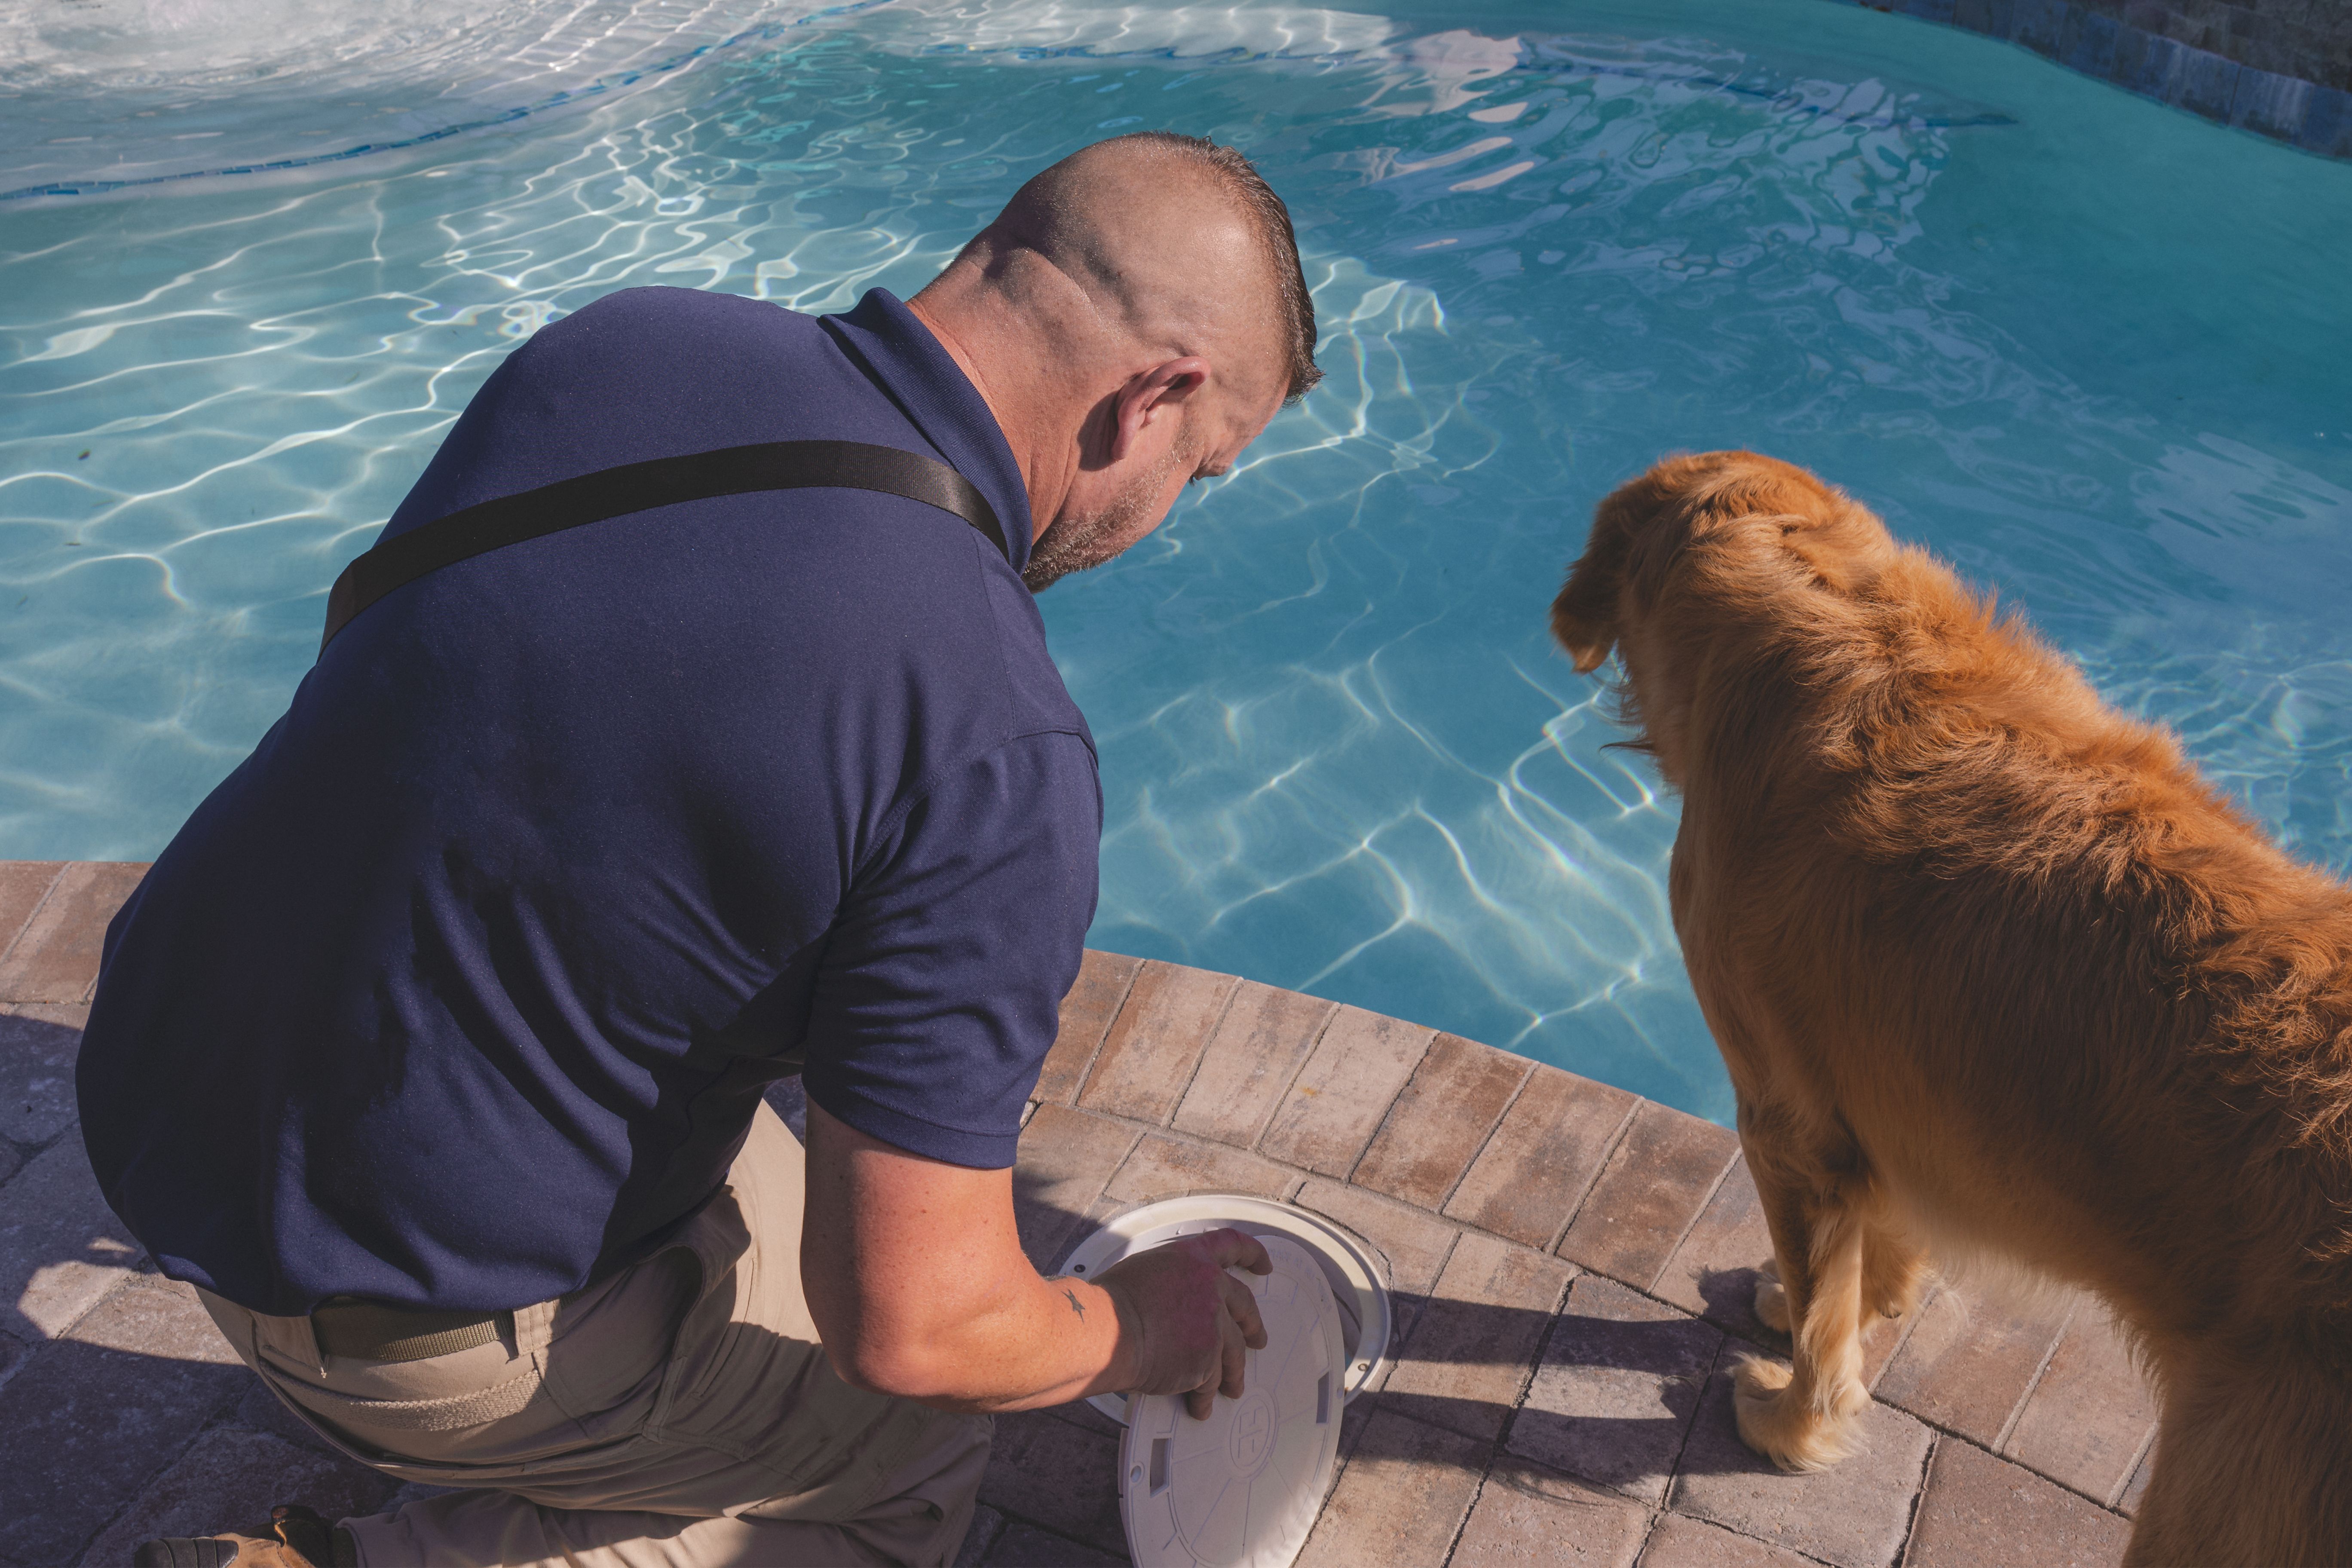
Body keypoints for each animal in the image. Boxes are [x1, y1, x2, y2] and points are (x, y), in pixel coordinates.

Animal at [1552, 451, 2343, 1568]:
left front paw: (1791, 1421)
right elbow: (1881, 1237)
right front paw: (1866, 1296)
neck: (1831, 616)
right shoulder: (1902, 1114)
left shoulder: (1782, 1119)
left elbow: (1822, 1323)